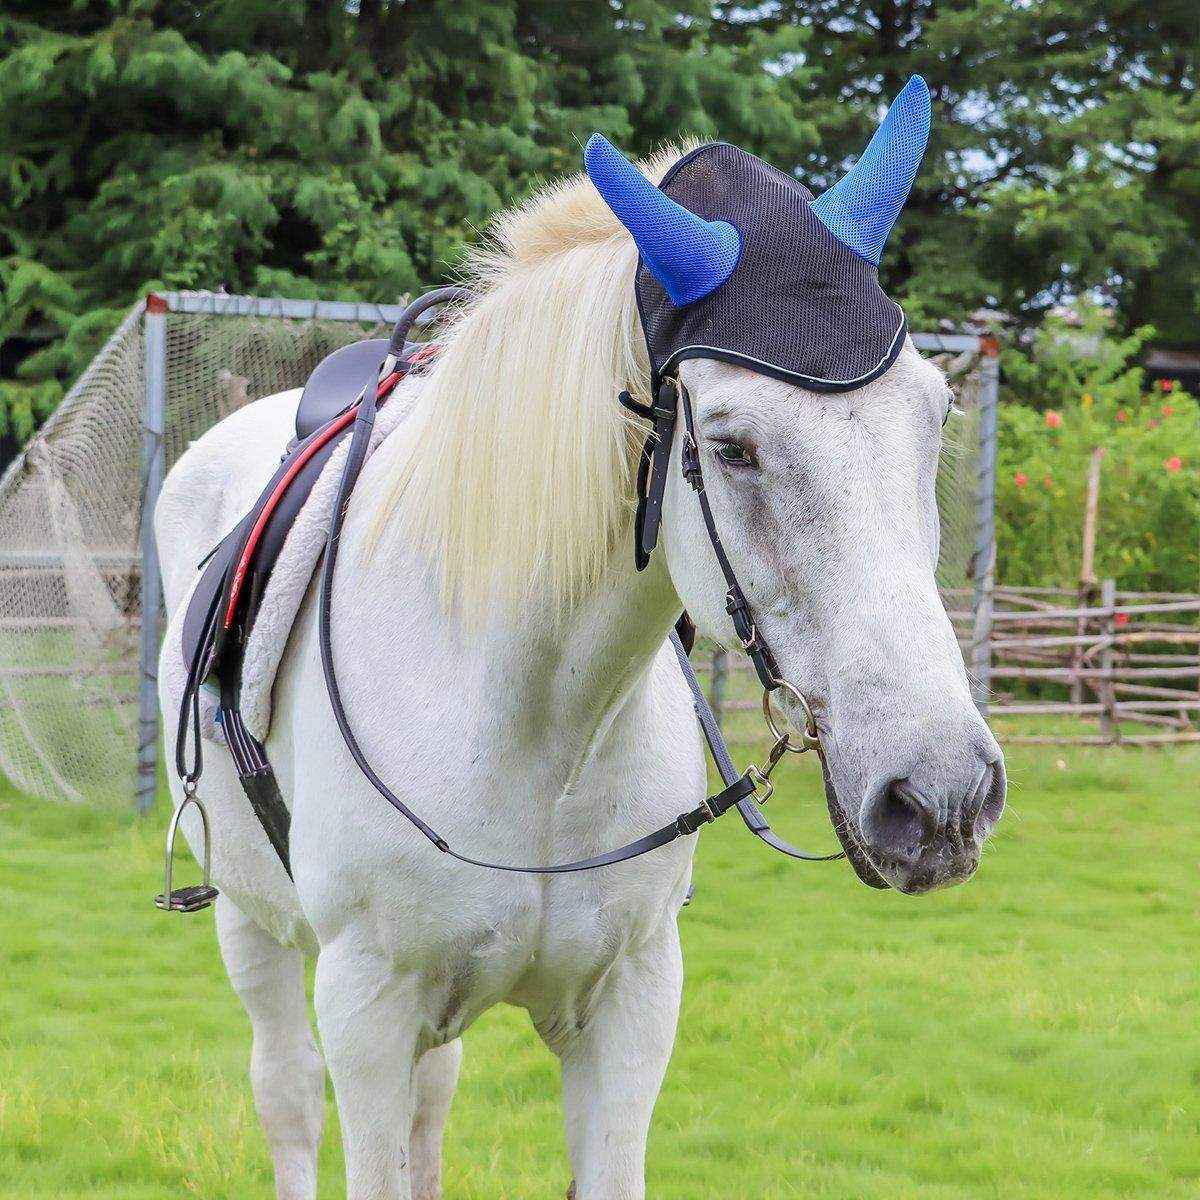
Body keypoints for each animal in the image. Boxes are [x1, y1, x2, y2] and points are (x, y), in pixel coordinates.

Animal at [155, 79, 1005, 1200]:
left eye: (936, 416)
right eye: (732, 447)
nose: (940, 795)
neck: (533, 727)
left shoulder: (631, 1008)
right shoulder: (365, 1013)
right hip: (253, 927)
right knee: (286, 1094)